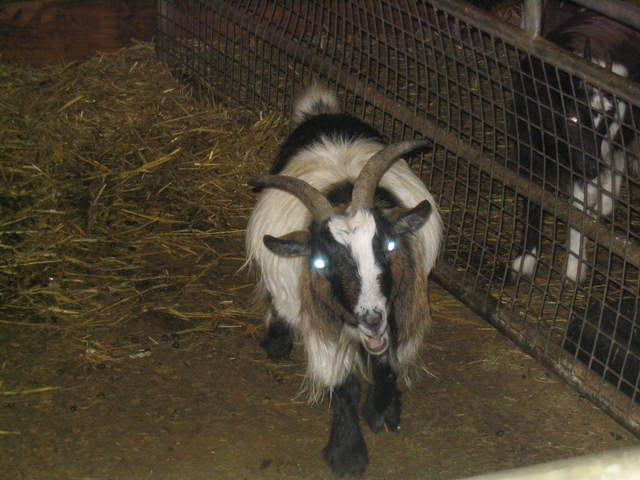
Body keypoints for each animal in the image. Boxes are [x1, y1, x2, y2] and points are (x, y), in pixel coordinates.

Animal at [245, 85, 442, 476]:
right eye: (321, 262)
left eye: (389, 245)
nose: (371, 318)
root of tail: (321, 113)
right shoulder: (323, 327)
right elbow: (344, 387)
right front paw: (348, 454)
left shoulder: (402, 308)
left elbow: (386, 365)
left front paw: (382, 410)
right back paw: (276, 340)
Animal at [510, 4, 640, 283]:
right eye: (573, 118)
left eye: (607, 120)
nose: (592, 169)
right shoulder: (527, 152)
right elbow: (533, 200)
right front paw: (525, 259)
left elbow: (577, 213)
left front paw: (574, 269)